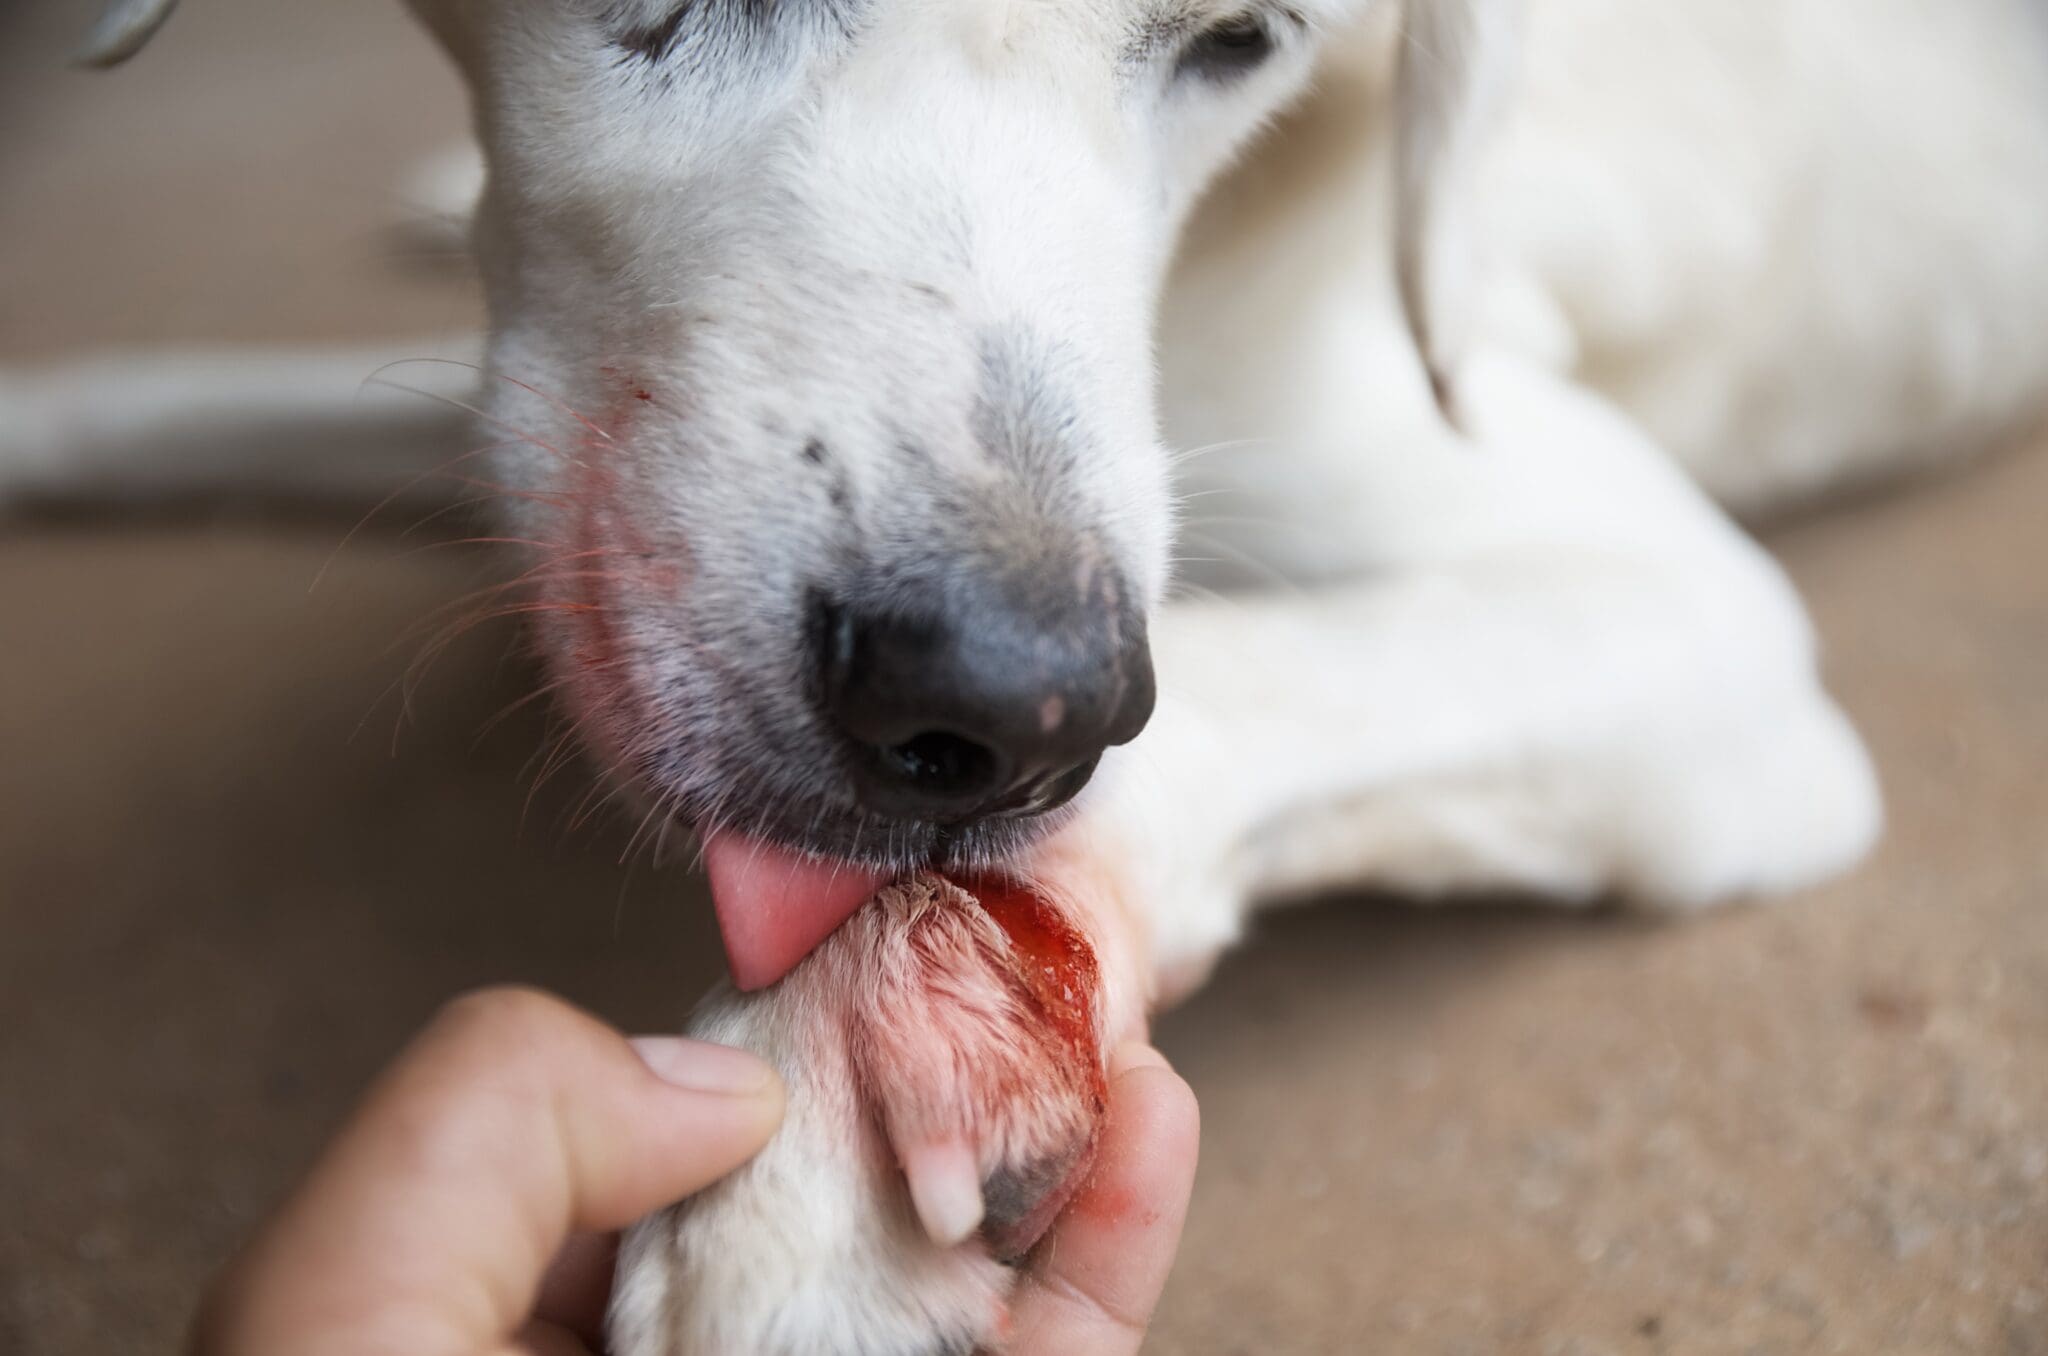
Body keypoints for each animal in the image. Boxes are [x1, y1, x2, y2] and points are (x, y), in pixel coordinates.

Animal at [16, 0, 2048, 1351]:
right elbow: (209, 402)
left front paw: (852, 1081)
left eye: (1240, 35)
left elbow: (1236, 676)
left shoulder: (1690, 617)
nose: (1004, 711)